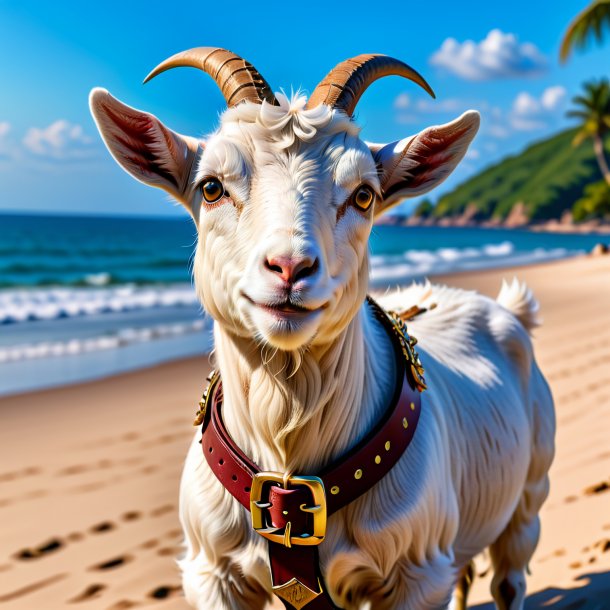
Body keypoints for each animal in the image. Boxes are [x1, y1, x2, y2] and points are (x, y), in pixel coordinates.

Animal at [89, 48, 552, 608]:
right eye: (212, 187)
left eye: (364, 195)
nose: (290, 267)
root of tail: (508, 308)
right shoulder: (211, 570)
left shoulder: (419, 572)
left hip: (530, 491)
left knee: (510, 574)